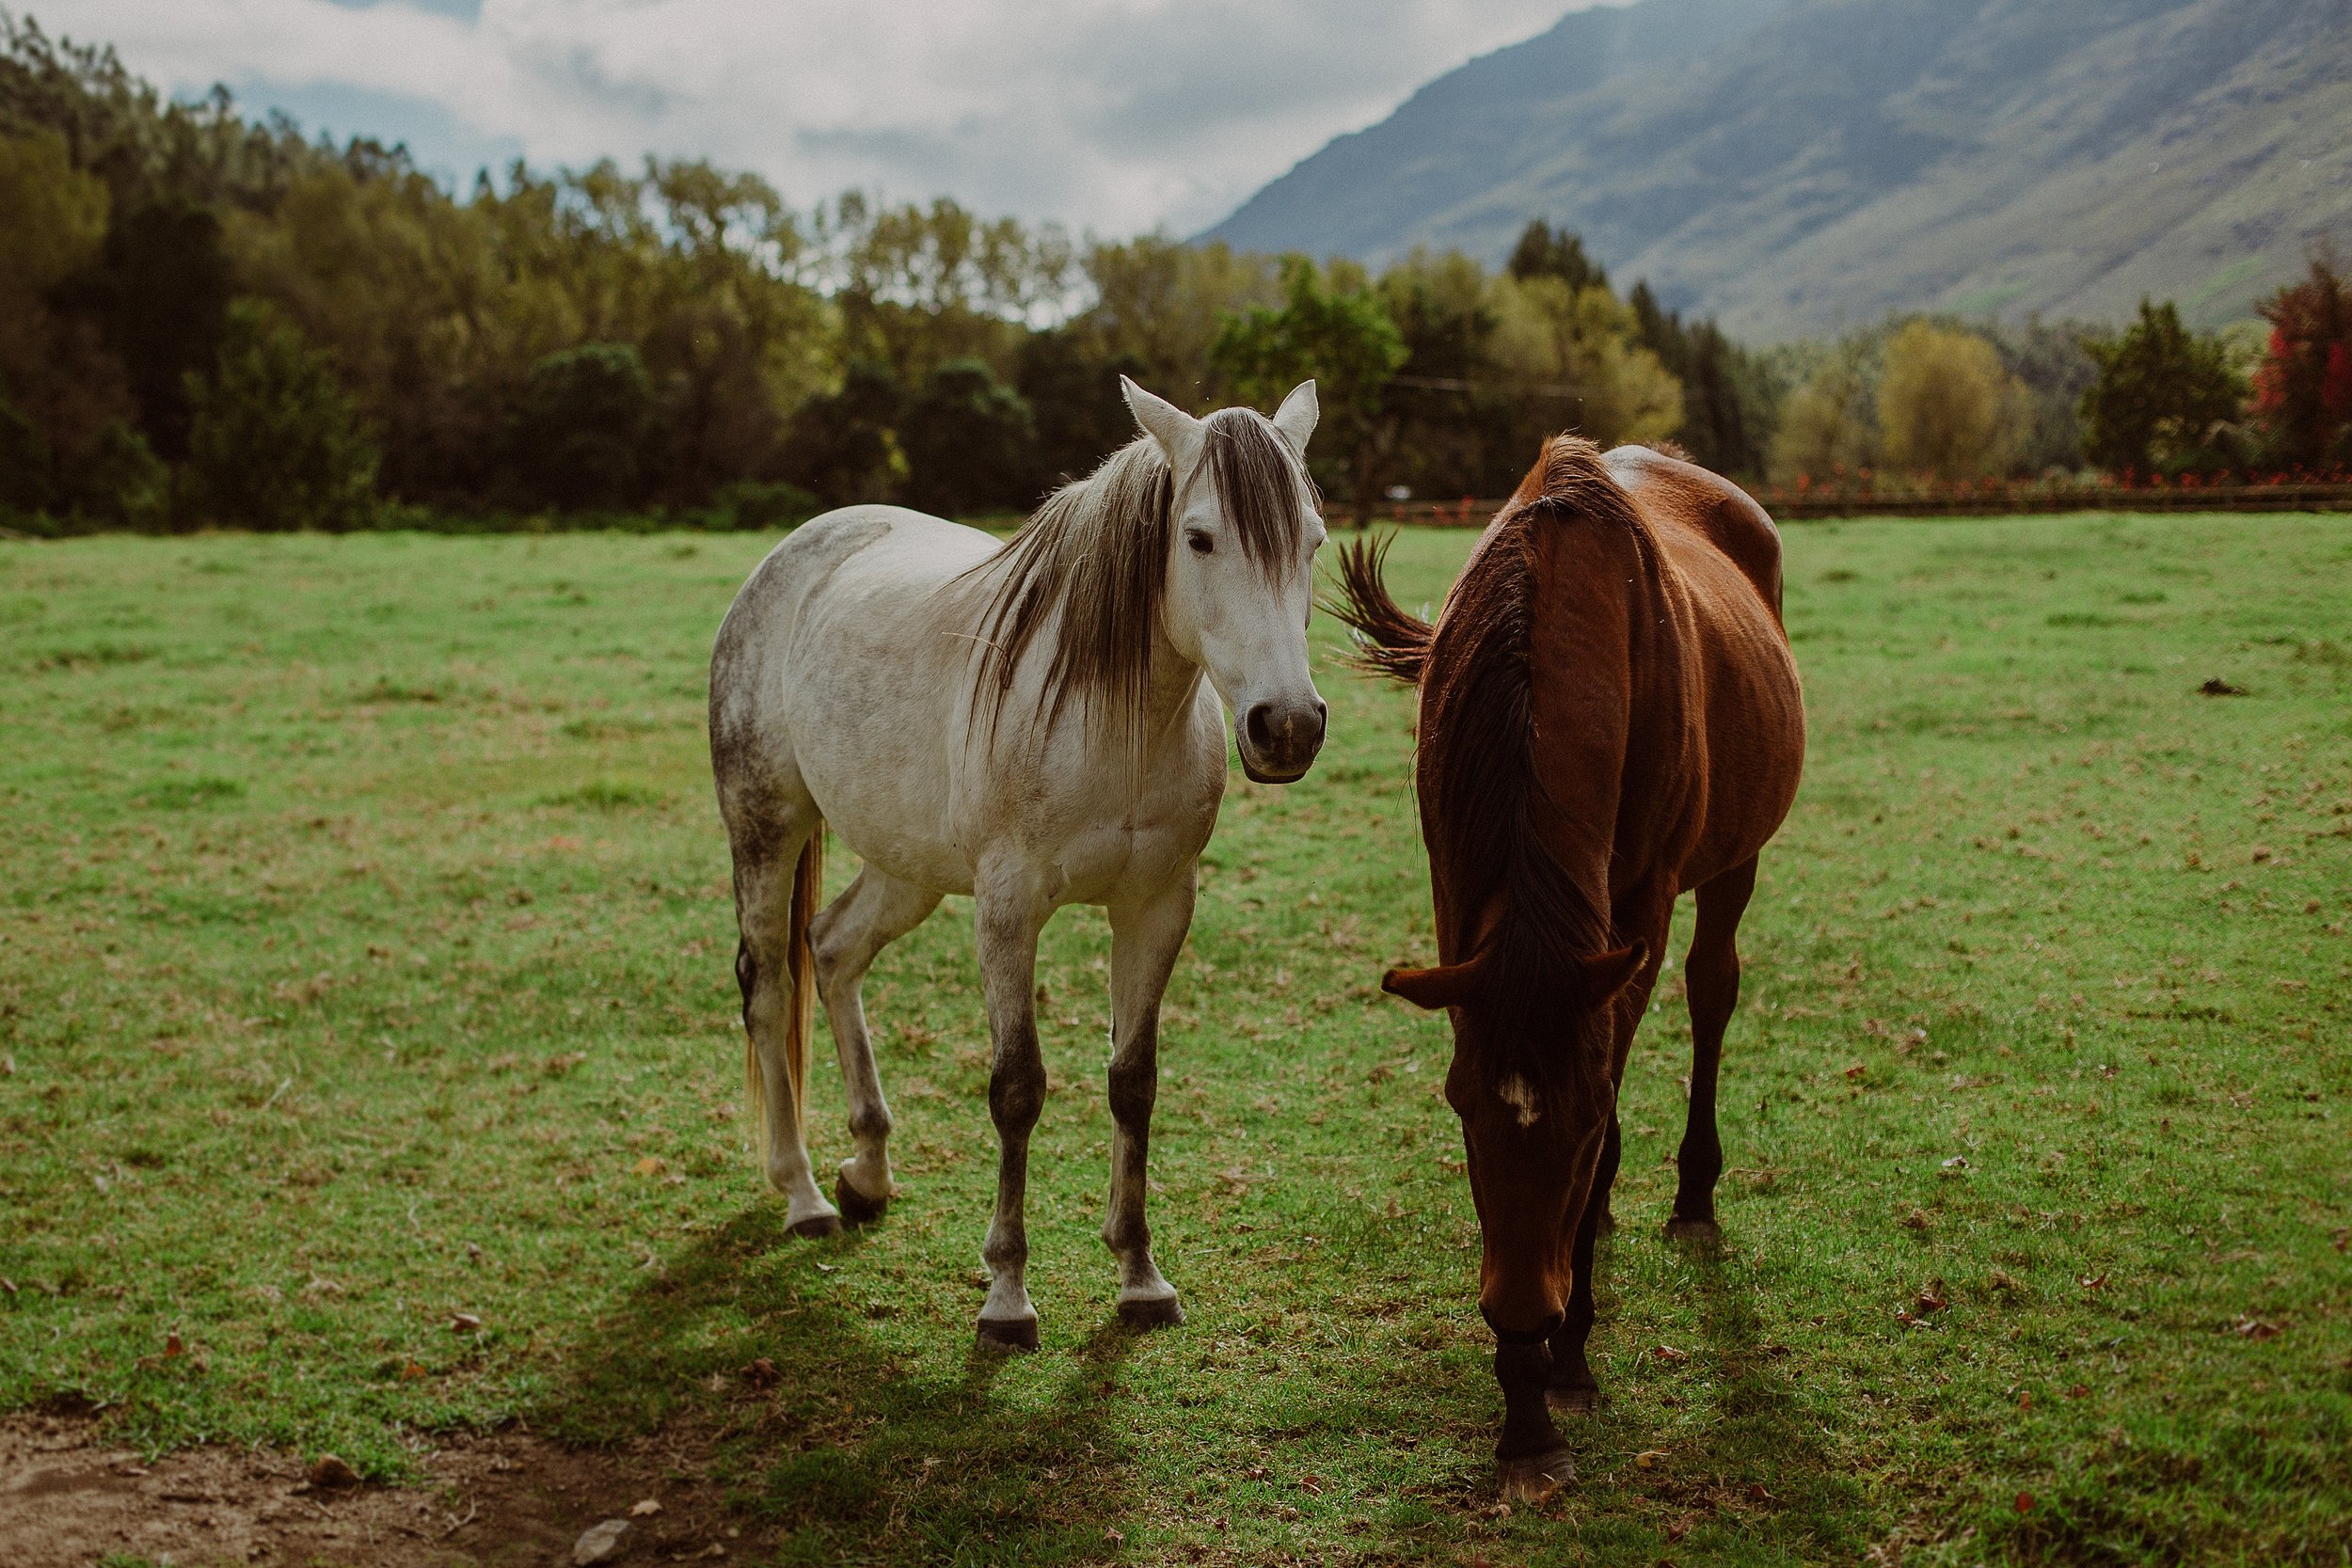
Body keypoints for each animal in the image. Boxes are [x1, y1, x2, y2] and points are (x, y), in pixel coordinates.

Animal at [701, 375, 1327, 1354]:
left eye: (1313, 541)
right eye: (1198, 537)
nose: (1288, 726)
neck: (1110, 722)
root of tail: (795, 554)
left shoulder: (1157, 907)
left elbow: (1133, 1082)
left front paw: (1140, 1275)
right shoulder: (1008, 908)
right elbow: (1017, 1087)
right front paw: (1006, 1293)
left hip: (906, 868)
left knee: (833, 950)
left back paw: (867, 1169)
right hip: (766, 827)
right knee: (770, 986)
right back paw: (802, 1194)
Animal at [1336, 435, 1806, 1504]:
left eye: (1582, 1124)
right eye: (1461, 1108)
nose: (1521, 1316)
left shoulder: (1637, 913)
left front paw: (1563, 1371)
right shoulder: (1459, 902)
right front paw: (1523, 1406)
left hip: (1733, 861)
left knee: (1712, 990)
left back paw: (1690, 1197)